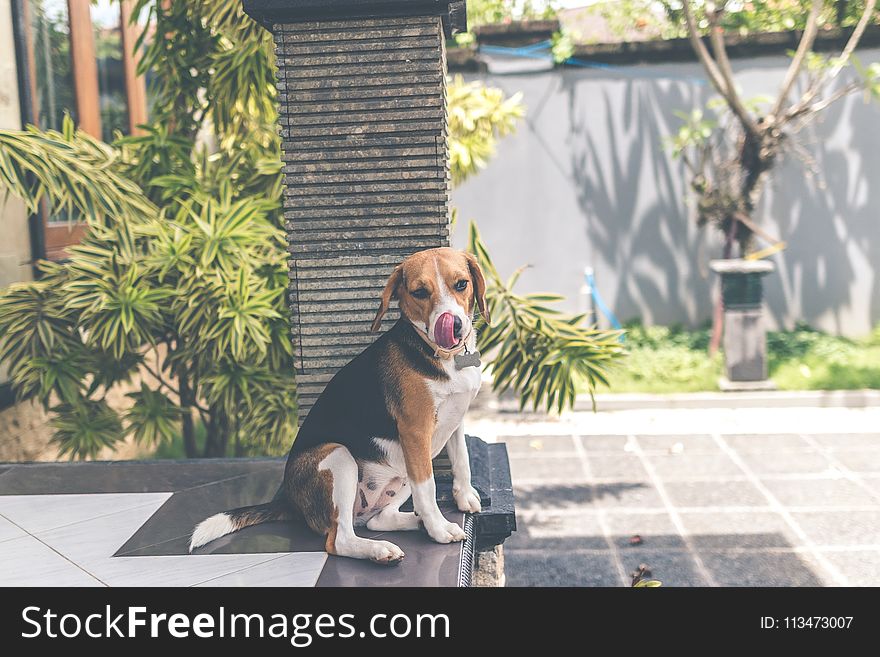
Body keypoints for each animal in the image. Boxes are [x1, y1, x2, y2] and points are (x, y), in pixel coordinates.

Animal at [191, 246, 488, 564]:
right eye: (419, 292)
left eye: (461, 284)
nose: (453, 324)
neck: (442, 355)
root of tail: (290, 502)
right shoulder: (415, 431)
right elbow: (428, 488)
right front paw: (438, 528)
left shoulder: (455, 420)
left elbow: (462, 460)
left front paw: (464, 497)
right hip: (339, 457)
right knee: (340, 539)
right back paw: (381, 549)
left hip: (399, 470)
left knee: (378, 520)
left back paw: (411, 523)